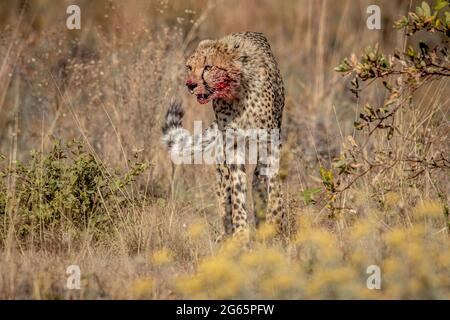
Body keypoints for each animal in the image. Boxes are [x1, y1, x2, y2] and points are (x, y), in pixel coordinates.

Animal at [163, 32, 286, 241]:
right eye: (190, 67)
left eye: (208, 67)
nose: (190, 85)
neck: (237, 94)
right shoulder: (233, 146)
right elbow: (237, 192)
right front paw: (241, 233)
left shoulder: (270, 143)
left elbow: (273, 186)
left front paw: (274, 224)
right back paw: (227, 234)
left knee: (258, 180)